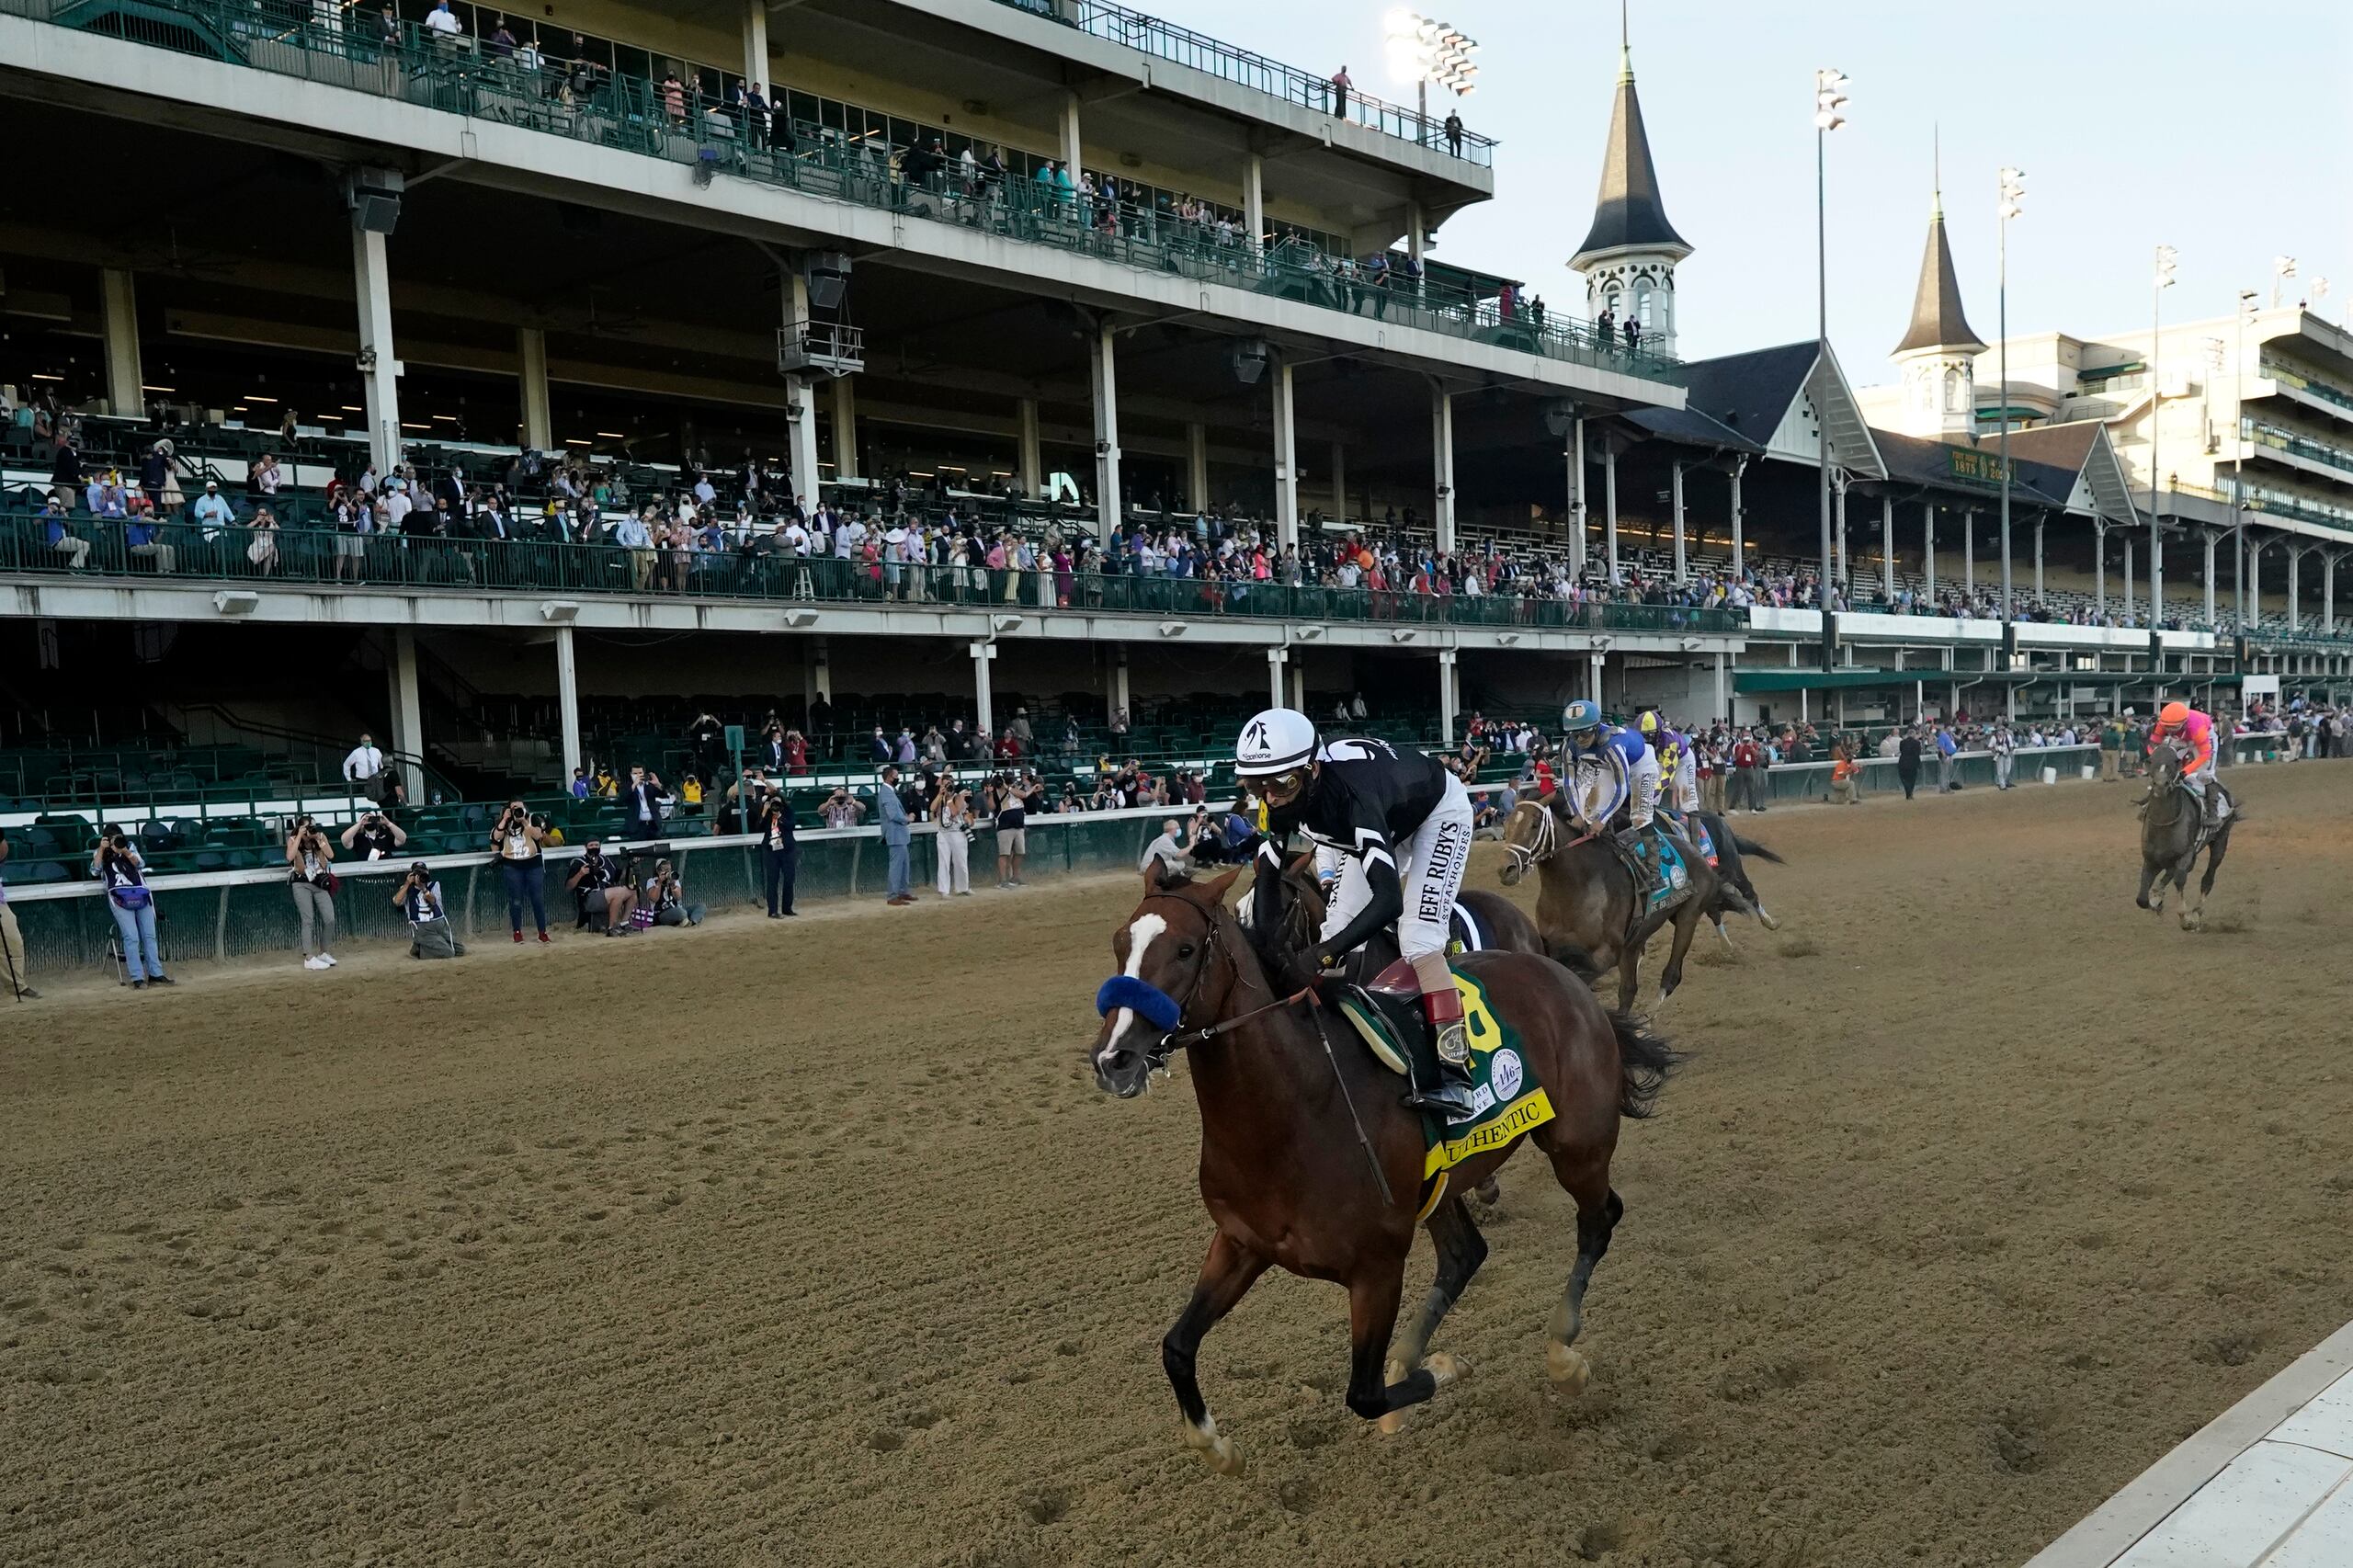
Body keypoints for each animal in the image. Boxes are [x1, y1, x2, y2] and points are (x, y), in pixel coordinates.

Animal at [1082, 866, 1675, 1469]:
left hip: (1577, 1146)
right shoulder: (1242, 1241)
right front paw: (1217, 1445)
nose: (1114, 1059)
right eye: (1119, 943)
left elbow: (1363, 1395)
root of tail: (1562, 975)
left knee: (1598, 1219)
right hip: (1441, 1182)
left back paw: (1561, 1352)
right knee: (1465, 1254)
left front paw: (1442, 1368)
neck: (1294, 1109)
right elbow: (1176, 1347)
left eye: (1184, 949)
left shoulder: (1377, 1267)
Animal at [2136, 744, 2240, 927]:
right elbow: (2142, 898)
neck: (2164, 825)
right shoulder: (2150, 859)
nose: (2161, 785)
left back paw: (2197, 912)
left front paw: (2185, 917)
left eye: (2175, 762)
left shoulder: (2185, 855)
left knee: (2208, 879)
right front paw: (2157, 902)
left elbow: (2179, 879)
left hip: (2221, 839)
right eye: (2151, 760)